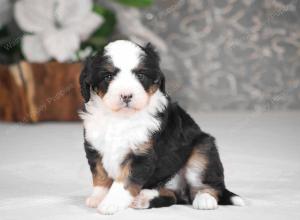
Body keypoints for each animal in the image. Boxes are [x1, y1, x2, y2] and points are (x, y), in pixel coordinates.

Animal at [79, 40, 244, 215]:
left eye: (140, 75)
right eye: (108, 76)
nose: (126, 96)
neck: (120, 118)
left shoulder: (142, 154)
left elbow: (124, 181)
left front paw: (111, 203)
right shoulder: (94, 148)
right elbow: (100, 175)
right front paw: (98, 197)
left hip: (203, 149)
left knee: (209, 185)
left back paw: (205, 199)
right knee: (172, 196)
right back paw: (143, 199)